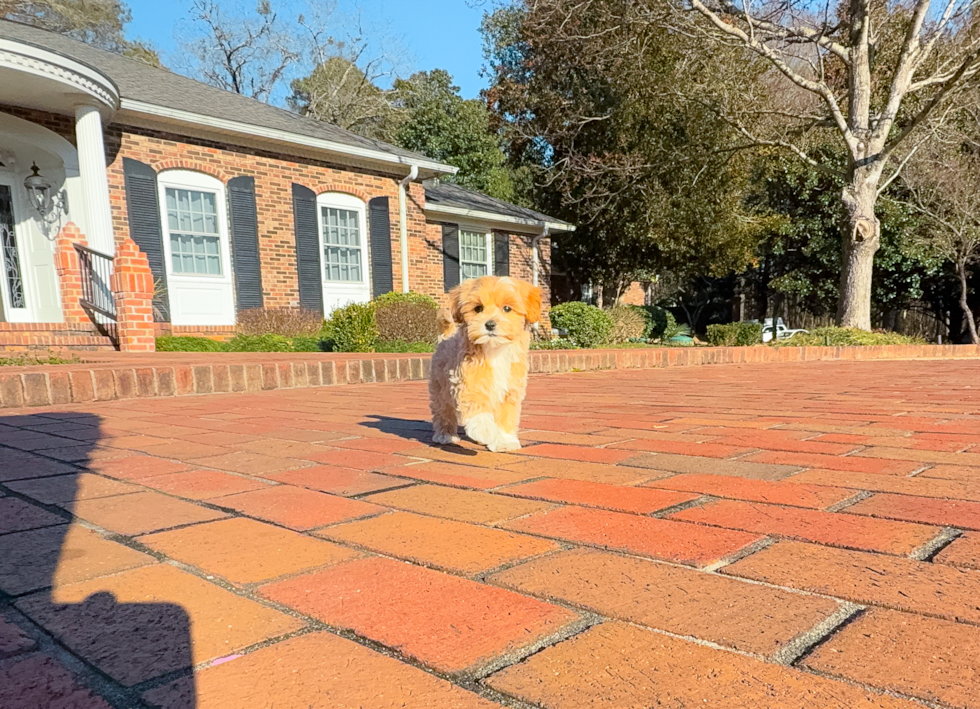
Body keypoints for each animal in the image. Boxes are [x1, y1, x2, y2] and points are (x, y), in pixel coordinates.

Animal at [428, 274, 544, 450]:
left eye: (507, 308)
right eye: (478, 309)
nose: (490, 324)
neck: (495, 349)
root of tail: (445, 338)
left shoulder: (510, 390)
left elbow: (506, 416)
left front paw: (505, 441)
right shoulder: (468, 380)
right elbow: (477, 404)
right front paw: (485, 431)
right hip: (440, 388)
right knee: (443, 411)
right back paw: (445, 435)